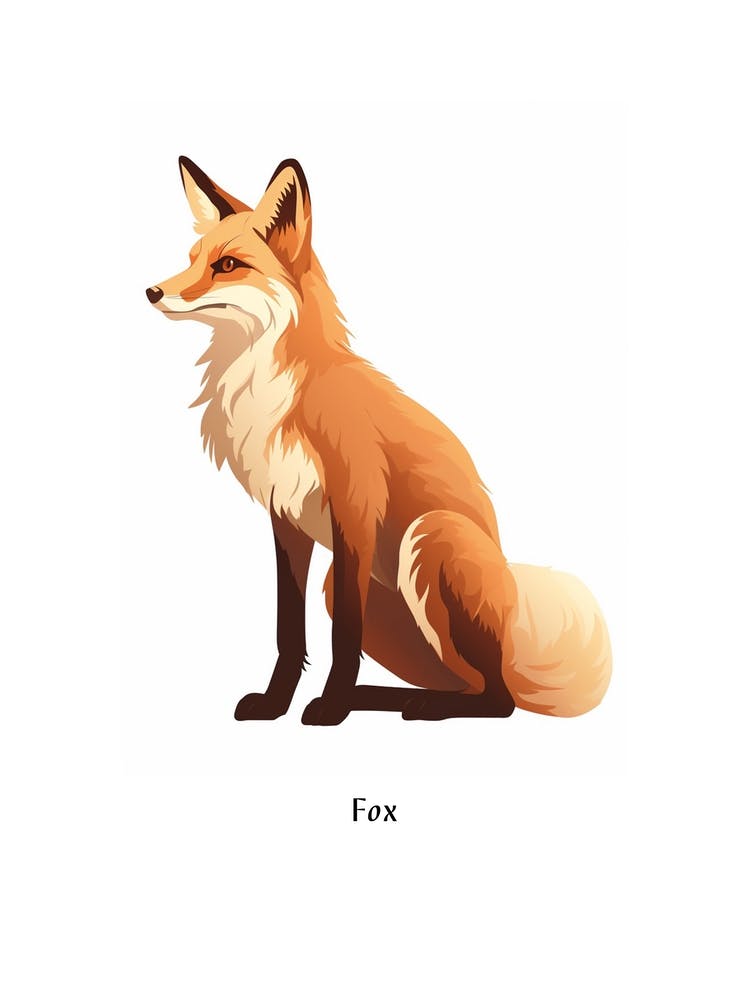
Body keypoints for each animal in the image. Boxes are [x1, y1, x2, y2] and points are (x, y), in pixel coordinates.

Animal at [146, 156, 612, 725]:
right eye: (191, 259)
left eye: (228, 265)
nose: (151, 291)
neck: (275, 389)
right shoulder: (286, 519)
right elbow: (288, 630)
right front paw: (278, 703)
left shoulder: (355, 509)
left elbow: (344, 634)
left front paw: (330, 707)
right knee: (465, 682)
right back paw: (390, 697)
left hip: (430, 537)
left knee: (498, 700)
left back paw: (414, 705)